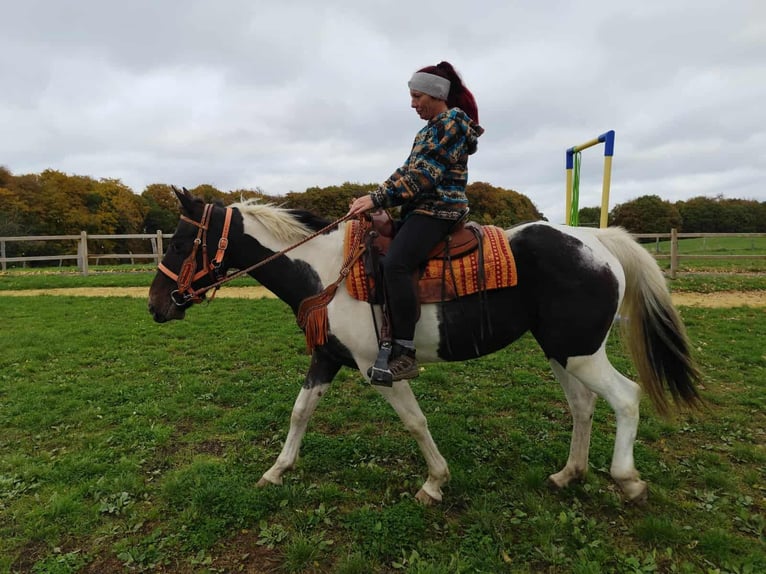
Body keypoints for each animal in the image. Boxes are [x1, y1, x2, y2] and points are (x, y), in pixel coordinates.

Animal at [148, 188, 702, 505]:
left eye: (178, 243)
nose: (156, 305)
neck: (326, 272)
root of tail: (598, 241)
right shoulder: (327, 357)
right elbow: (300, 411)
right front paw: (277, 471)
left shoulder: (377, 368)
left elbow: (415, 421)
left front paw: (435, 482)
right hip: (561, 352)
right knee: (583, 406)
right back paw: (569, 474)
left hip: (580, 352)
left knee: (626, 398)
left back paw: (627, 480)